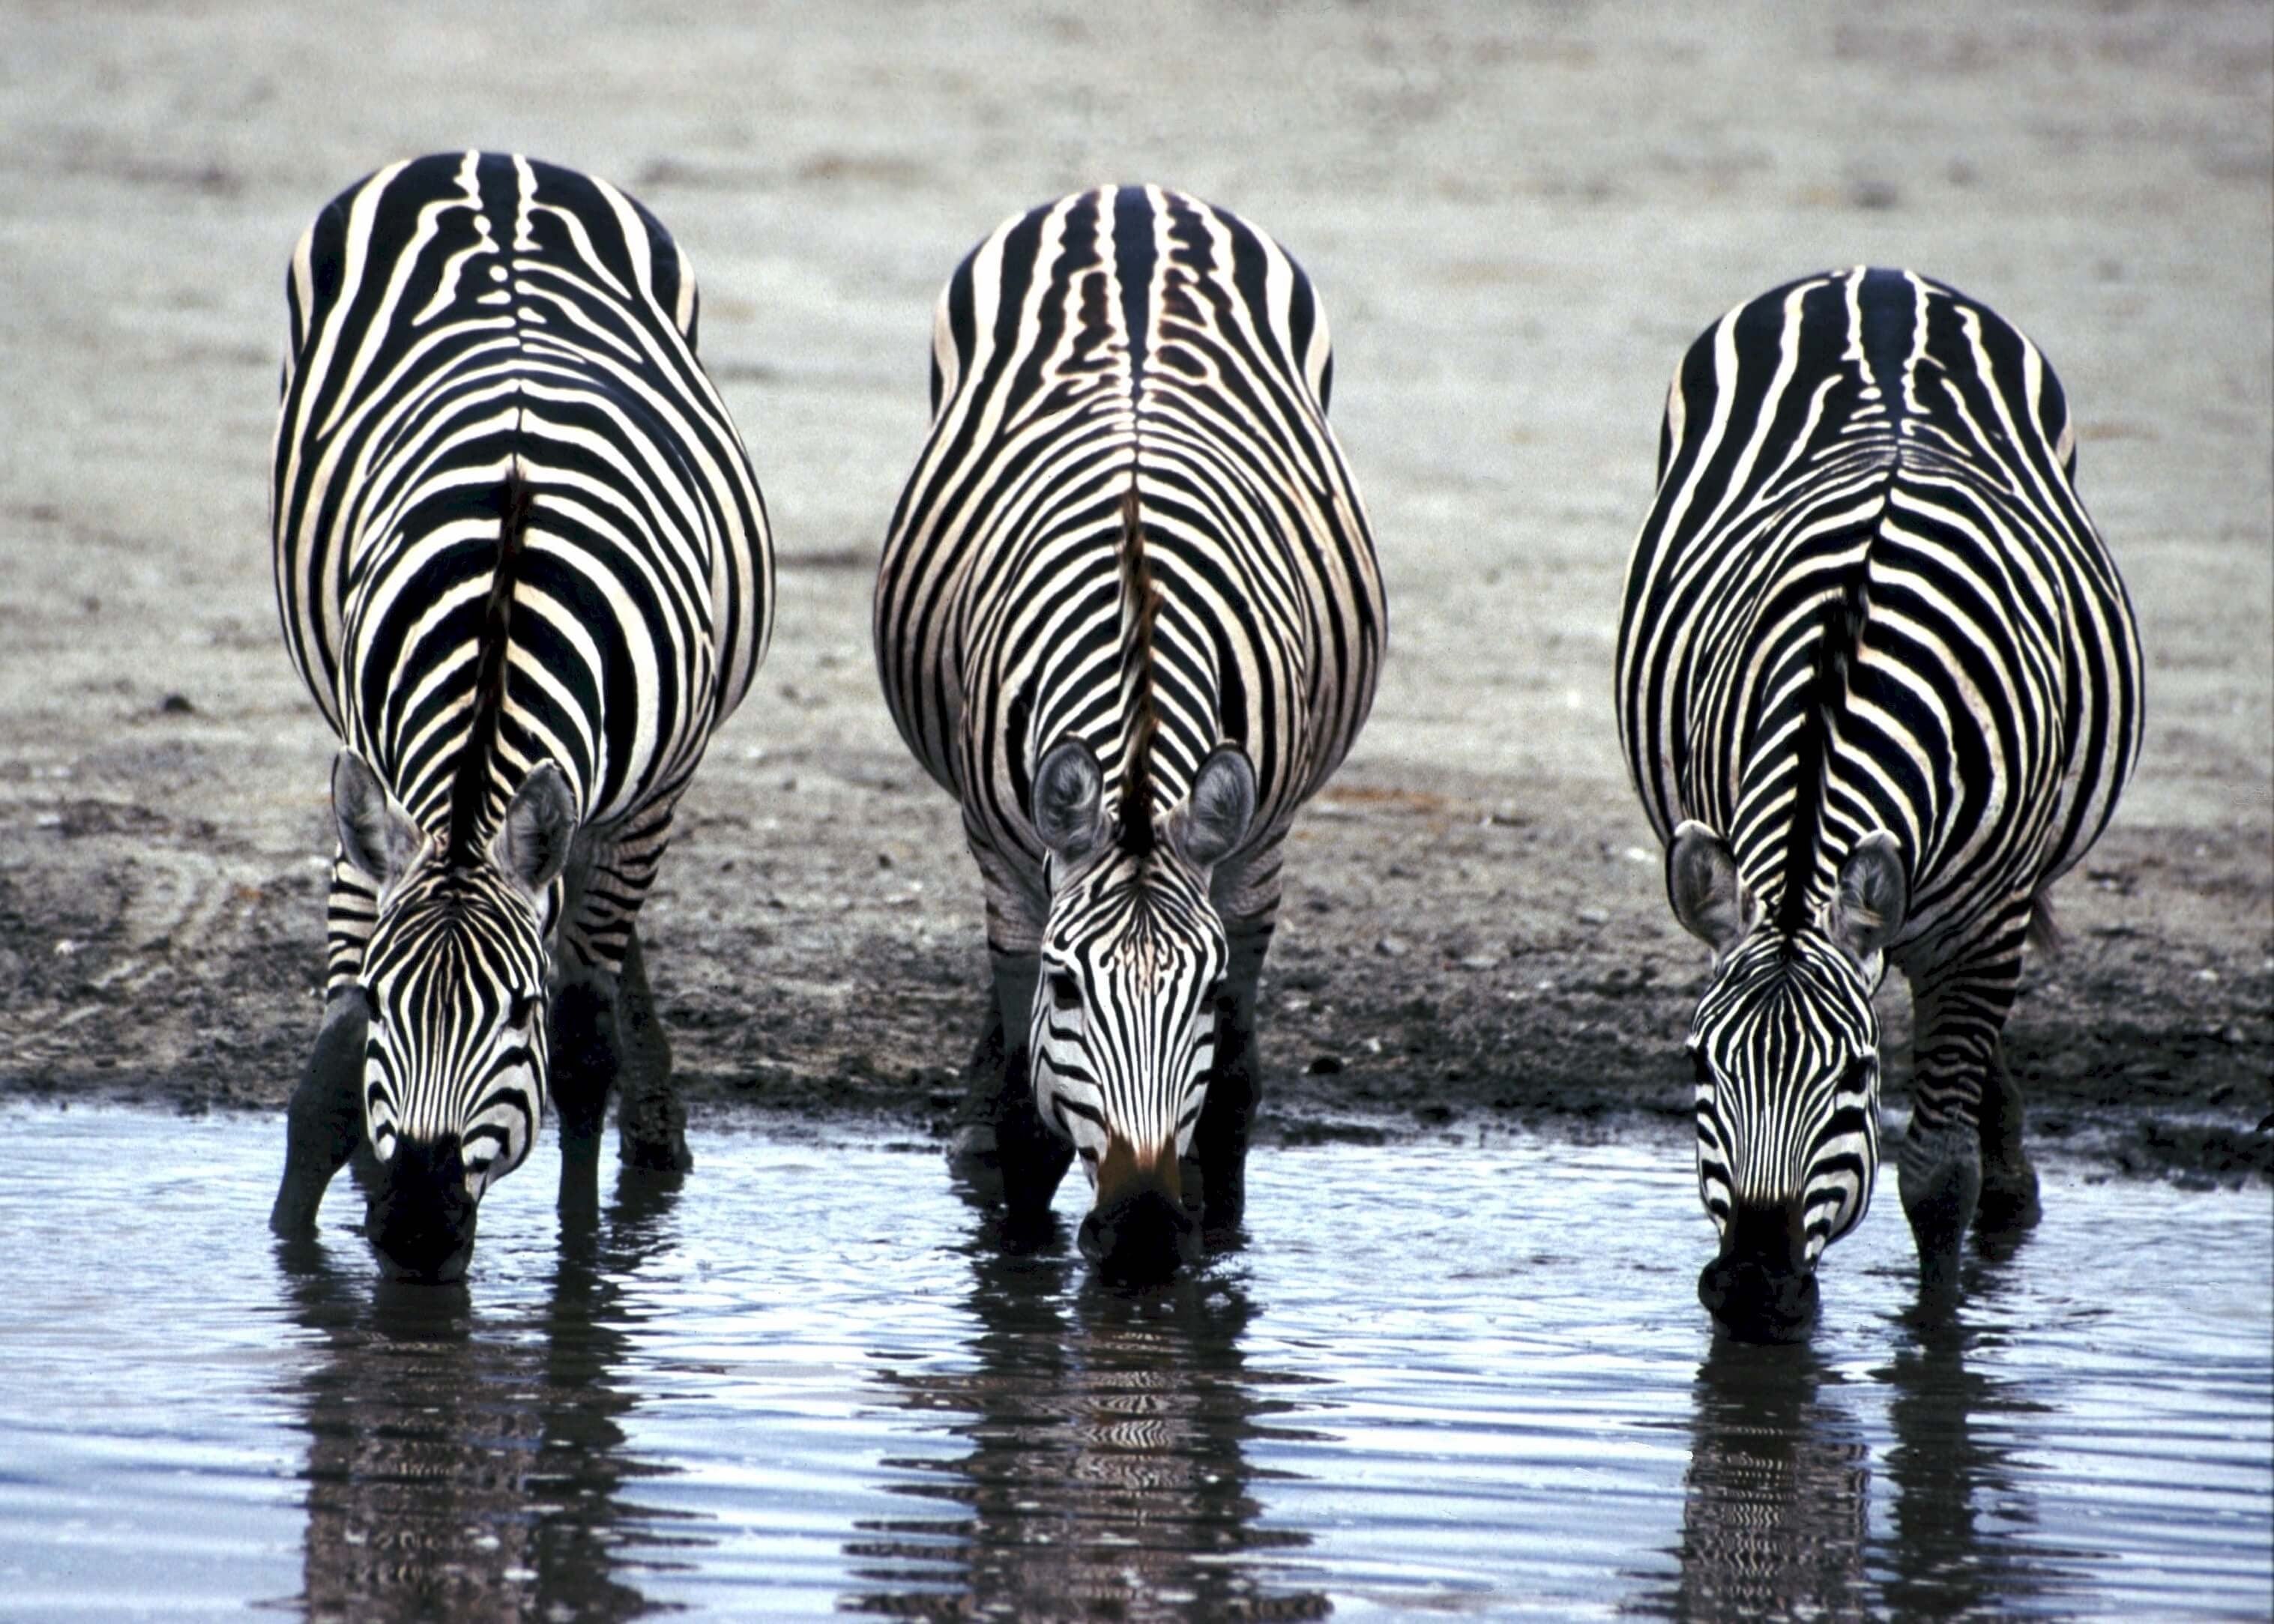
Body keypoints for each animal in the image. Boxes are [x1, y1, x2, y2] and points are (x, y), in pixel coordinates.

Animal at [265, 152, 772, 1279]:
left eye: (517, 1011)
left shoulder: (647, 802)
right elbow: (330, 1062)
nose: (416, 1227)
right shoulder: (372, 776)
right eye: (389, 1001)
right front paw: (300, 1244)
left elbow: (581, 1051)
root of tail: (495, 160)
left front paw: (583, 1269)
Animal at [875, 186, 1385, 1278]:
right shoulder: (1001, 847)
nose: (1146, 1230)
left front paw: (1216, 1235)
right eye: (1068, 987)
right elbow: (1028, 1108)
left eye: (1202, 991)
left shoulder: (1257, 844)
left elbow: (1230, 1090)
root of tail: (1134, 195)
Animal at [1617, 267, 2142, 1337]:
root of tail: (1877, 275)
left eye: (1856, 1078)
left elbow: (1937, 1177)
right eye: (1696, 1064)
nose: (1753, 1290)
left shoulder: (1985, 925)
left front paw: (1937, 1334)